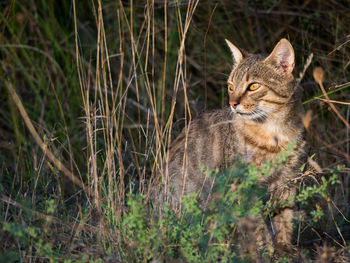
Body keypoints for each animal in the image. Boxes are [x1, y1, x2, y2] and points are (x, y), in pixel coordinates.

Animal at [154, 38, 306, 251]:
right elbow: (257, 224)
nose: (233, 103)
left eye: (254, 86)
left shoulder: (287, 179)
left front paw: (284, 249)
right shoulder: (243, 184)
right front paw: (265, 249)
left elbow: (284, 218)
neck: (273, 133)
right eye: (231, 86)